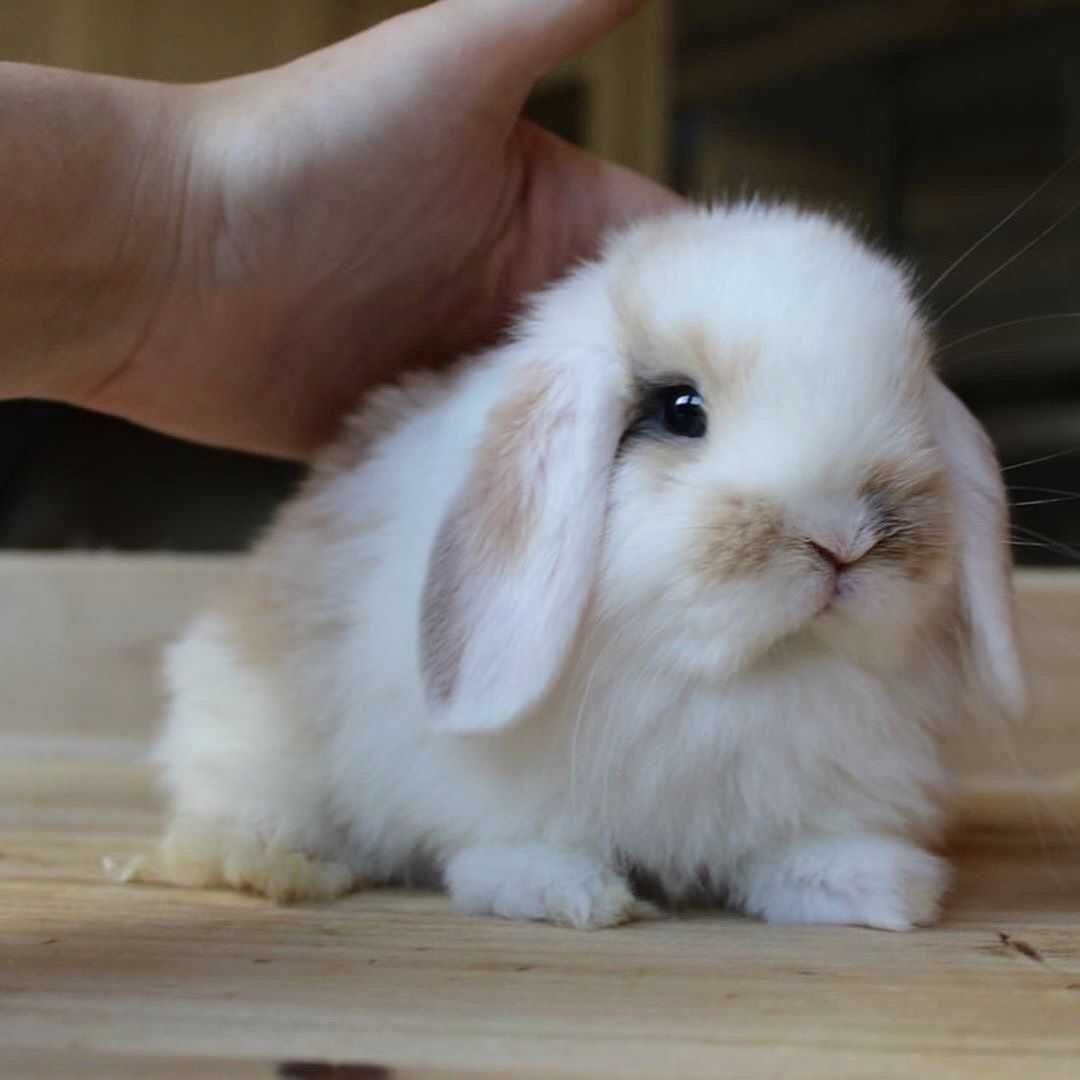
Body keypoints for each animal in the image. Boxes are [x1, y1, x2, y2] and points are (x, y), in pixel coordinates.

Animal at [152, 206, 1019, 933]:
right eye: (680, 410)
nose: (842, 537)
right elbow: (512, 838)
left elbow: (805, 846)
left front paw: (875, 888)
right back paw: (269, 860)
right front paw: (565, 892)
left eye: (908, 401)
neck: (742, 676)